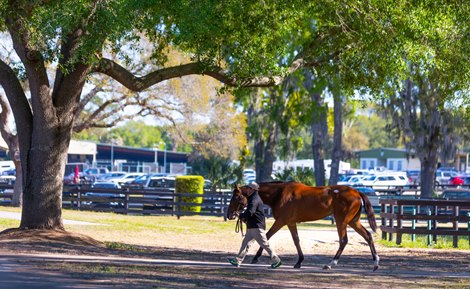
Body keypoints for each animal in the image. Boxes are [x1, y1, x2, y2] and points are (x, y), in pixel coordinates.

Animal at [226, 181, 380, 268]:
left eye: (236, 197)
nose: (229, 214)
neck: (280, 193)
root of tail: (357, 192)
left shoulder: (281, 221)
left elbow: (267, 237)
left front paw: (256, 258)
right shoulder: (291, 223)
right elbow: (296, 240)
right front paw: (299, 261)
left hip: (341, 221)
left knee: (343, 240)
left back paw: (331, 264)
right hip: (353, 222)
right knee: (367, 236)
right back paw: (375, 263)